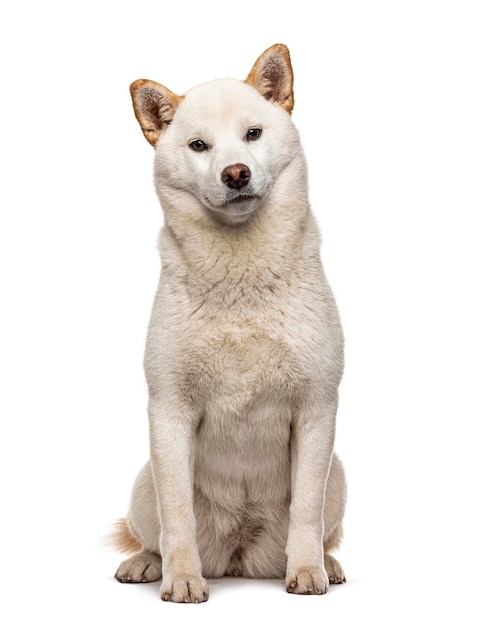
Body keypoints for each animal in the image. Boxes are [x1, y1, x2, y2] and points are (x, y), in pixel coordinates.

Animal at [113, 42, 348, 600]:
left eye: (253, 134)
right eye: (199, 145)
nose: (235, 173)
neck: (241, 280)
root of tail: (241, 553)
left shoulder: (316, 409)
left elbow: (305, 510)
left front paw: (307, 571)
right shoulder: (169, 412)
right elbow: (176, 515)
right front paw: (182, 578)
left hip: (339, 475)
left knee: (322, 525)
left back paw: (329, 563)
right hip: (143, 482)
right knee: (153, 532)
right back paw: (147, 564)